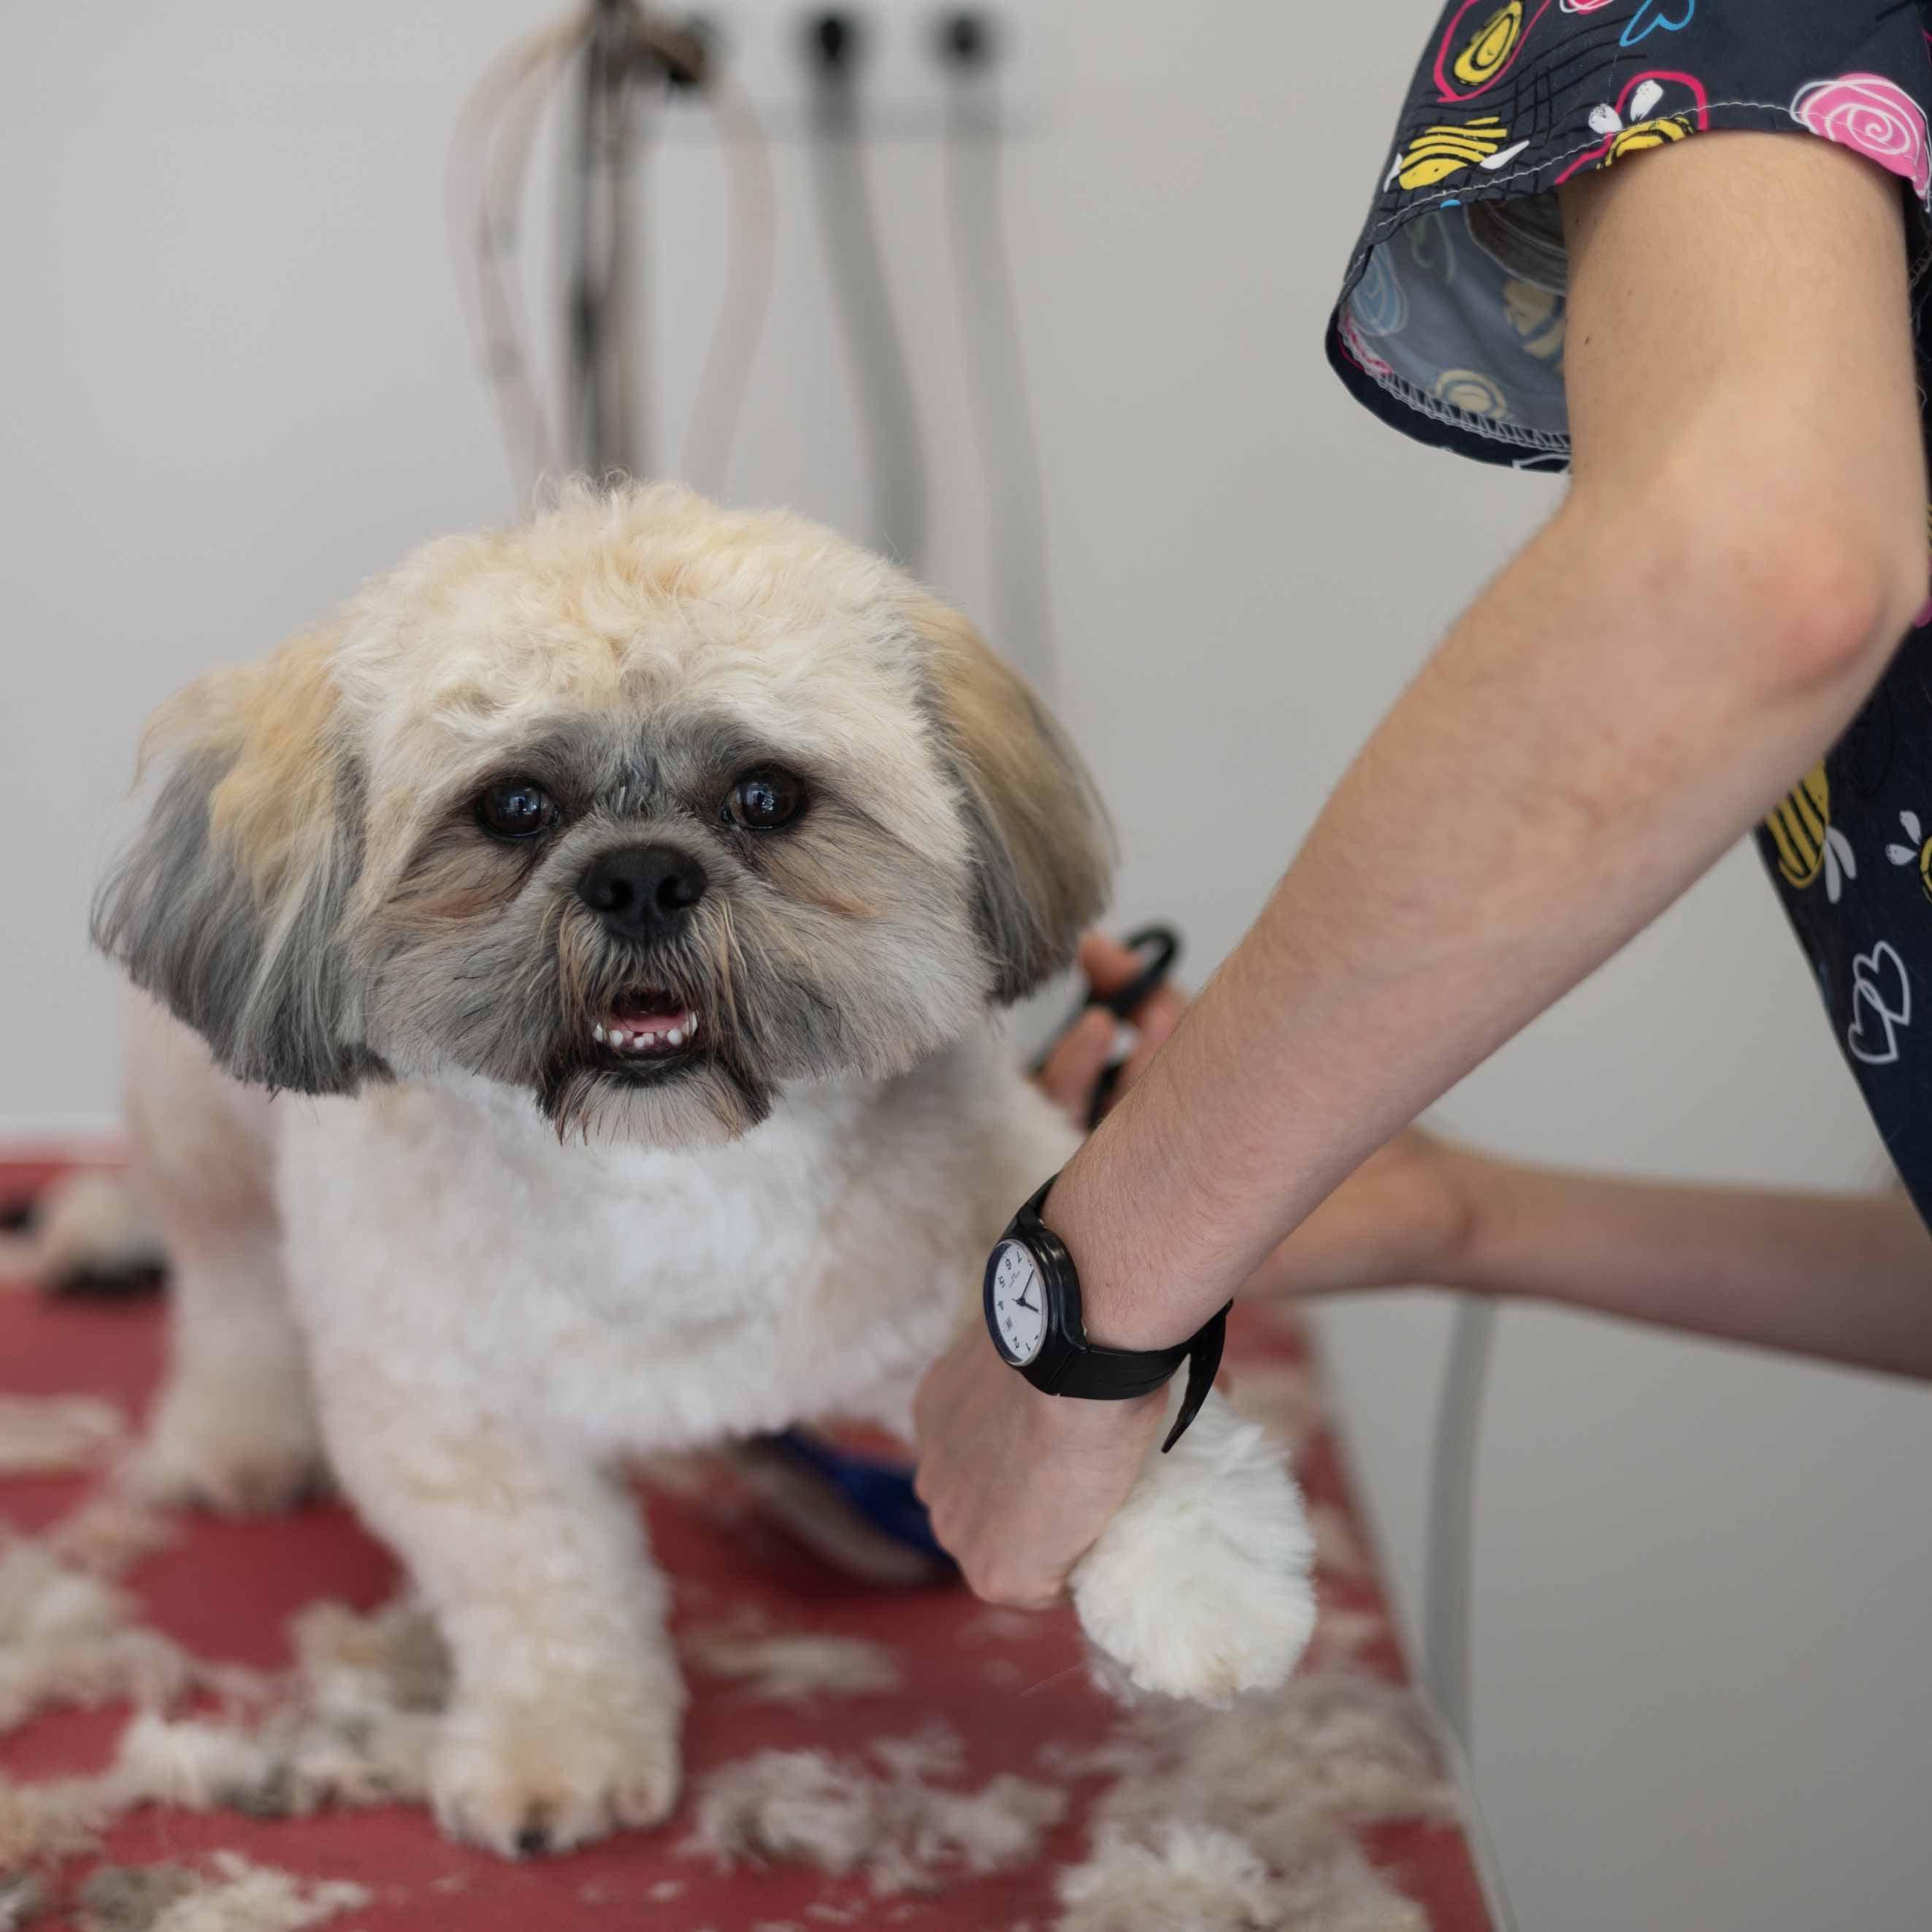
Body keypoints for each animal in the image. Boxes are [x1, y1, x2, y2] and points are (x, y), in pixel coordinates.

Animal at [98, 479, 1321, 1855]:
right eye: (513, 806)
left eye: (766, 796)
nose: (640, 873)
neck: (672, 1174)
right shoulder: (447, 1408)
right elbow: (542, 1583)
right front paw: (559, 1748)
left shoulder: (973, 1265)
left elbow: (1115, 1383)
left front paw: (1203, 1590)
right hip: (200, 1133)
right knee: (228, 1280)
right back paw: (237, 1431)